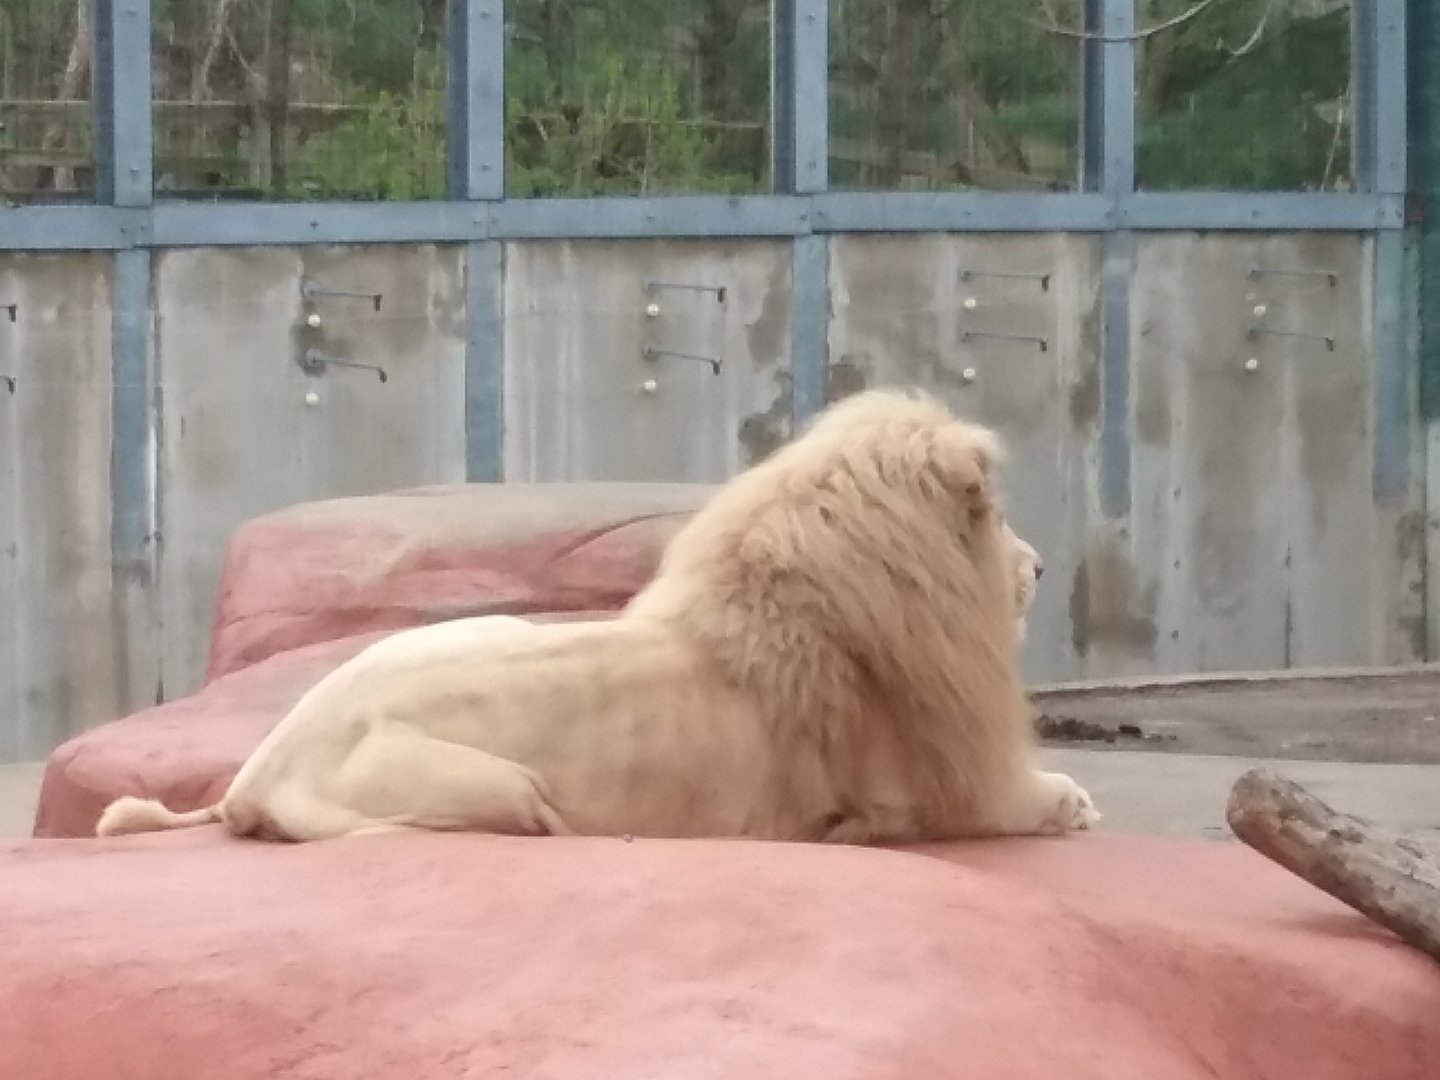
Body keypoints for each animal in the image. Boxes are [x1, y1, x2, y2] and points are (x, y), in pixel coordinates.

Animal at [97, 387, 1097, 846]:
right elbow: (1034, 801)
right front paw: (1074, 799)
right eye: (997, 517)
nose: (1043, 566)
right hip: (494, 791)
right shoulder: (928, 794)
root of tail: (254, 770)